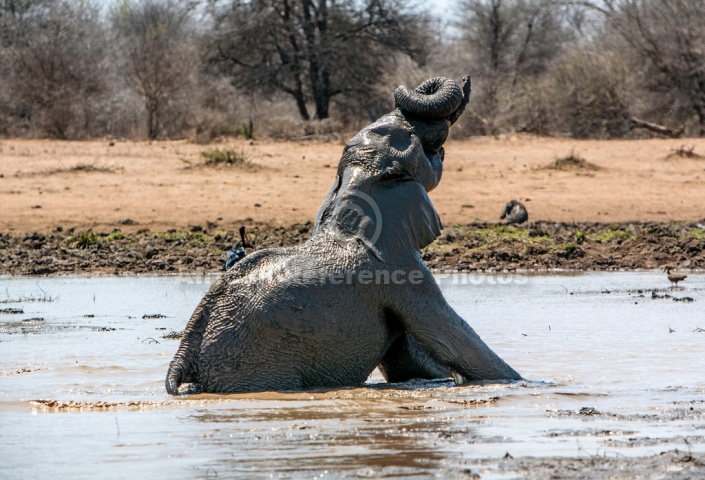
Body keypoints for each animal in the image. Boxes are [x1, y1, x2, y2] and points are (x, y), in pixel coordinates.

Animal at [166, 77, 524, 394]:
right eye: (412, 136)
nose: (462, 82)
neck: (354, 186)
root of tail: (182, 359)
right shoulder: (400, 272)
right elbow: (453, 341)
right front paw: (524, 383)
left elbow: (409, 361)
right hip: (254, 366)